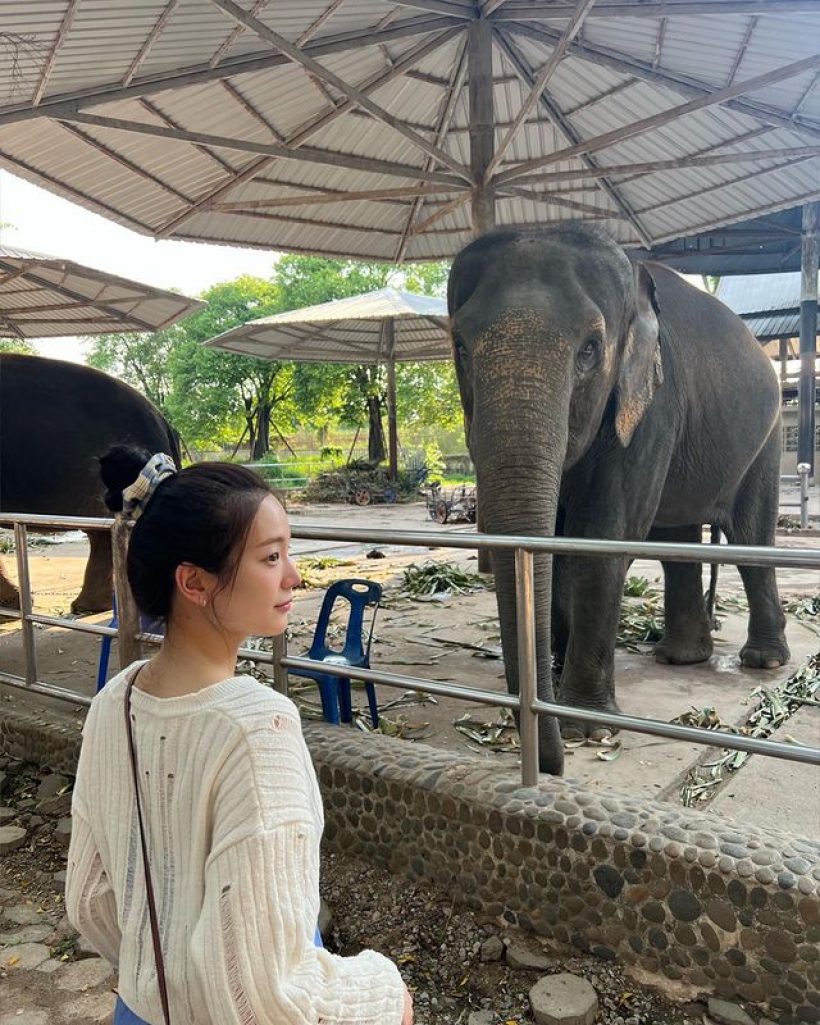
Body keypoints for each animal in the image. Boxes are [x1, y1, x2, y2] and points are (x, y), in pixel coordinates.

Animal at [448, 220, 787, 770]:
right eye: (458, 346)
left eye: (590, 349)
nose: (550, 764)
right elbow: (558, 542)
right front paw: (557, 685)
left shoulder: (652, 402)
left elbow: (602, 540)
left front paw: (585, 726)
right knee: (677, 545)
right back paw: (680, 657)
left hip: (768, 436)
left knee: (751, 541)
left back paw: (762, 660)